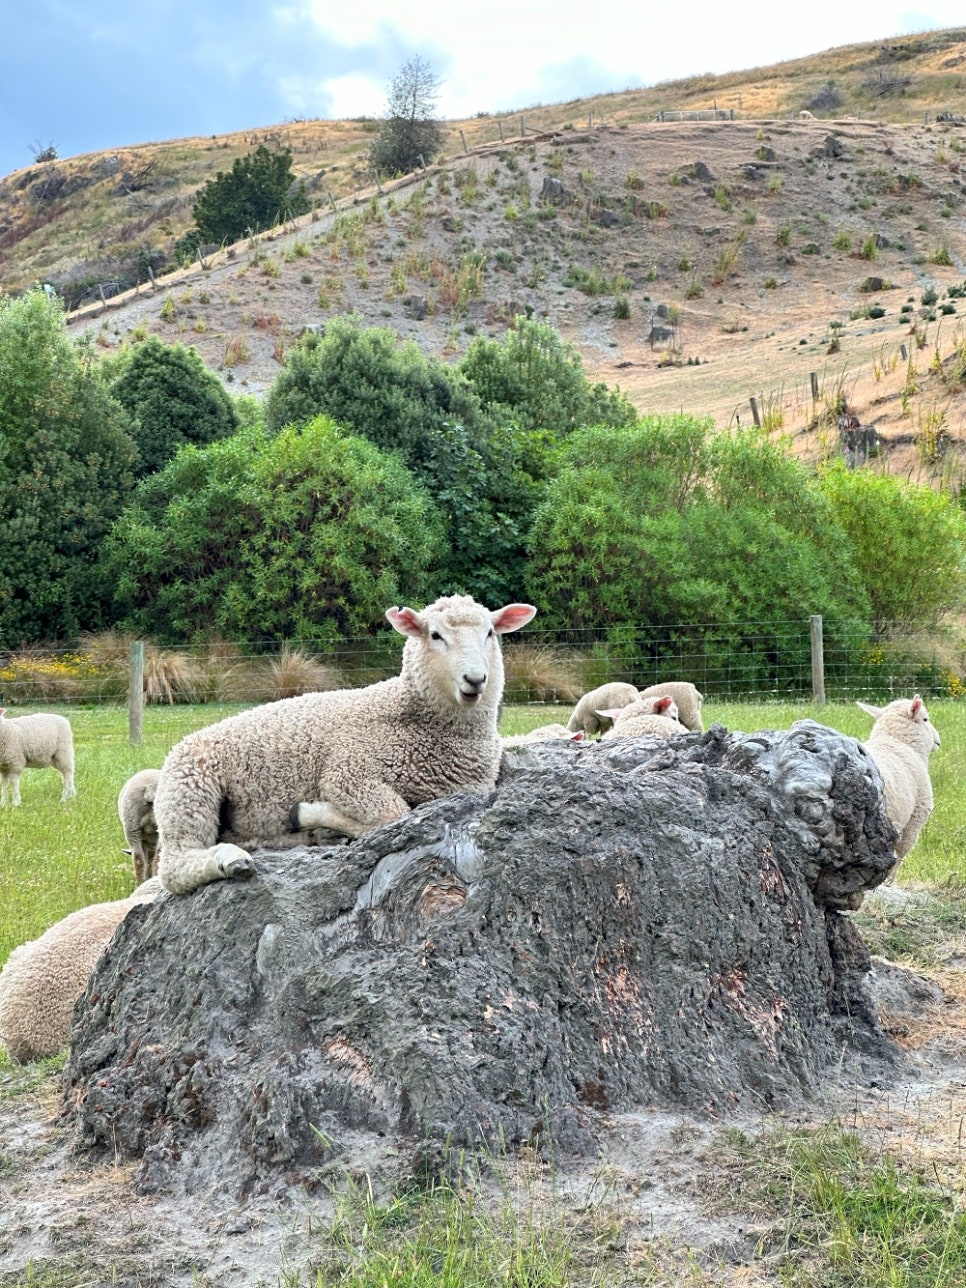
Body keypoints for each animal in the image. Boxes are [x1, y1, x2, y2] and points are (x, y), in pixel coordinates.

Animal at [155, 595, 540, 891]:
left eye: (489, 633)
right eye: (435, 635)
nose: (475, 679)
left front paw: (319, 825)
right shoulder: (349, 773)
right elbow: (394, 812)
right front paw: (312, 813)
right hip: (190, 785)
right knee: (175, 864)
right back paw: (233, 859)